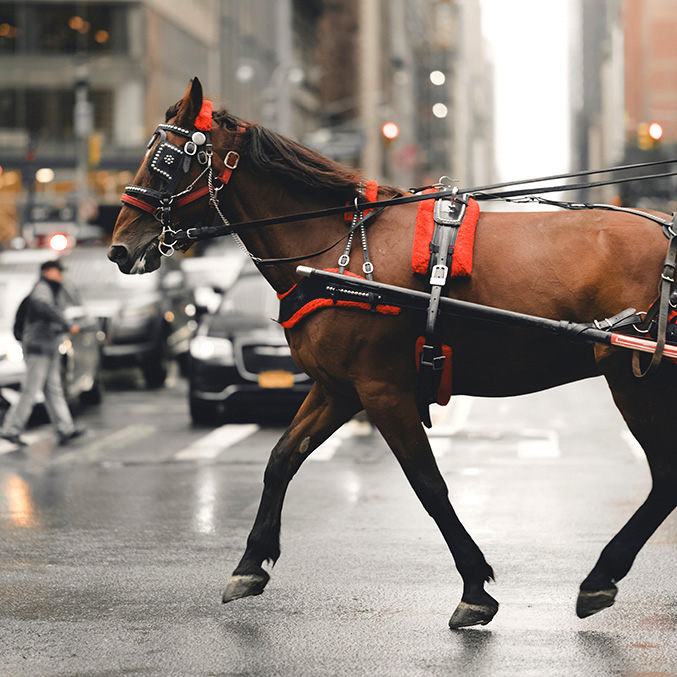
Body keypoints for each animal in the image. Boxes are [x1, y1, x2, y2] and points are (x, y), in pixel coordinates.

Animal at [108, 77, 677, 629]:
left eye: (167, 161)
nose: (118, 247)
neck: (338, 246)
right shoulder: (338, 388)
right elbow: (281, 458)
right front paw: (250, 565)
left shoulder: (383, 390)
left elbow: (428, 484)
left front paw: (474, 588)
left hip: (637, 381)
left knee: (665, 478)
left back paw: (600, 576)